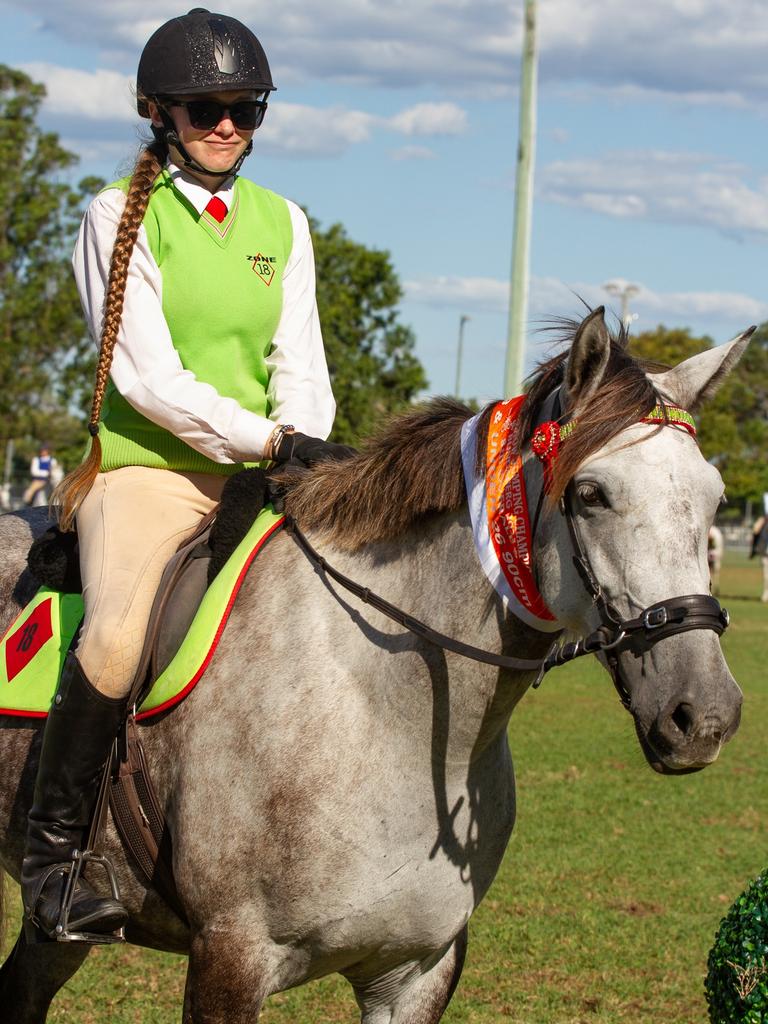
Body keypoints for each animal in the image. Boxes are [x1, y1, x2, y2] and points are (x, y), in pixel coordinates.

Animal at [0, 307, 753, 1019]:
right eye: (592, 494)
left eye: (715, 498)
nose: (705, 715)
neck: (386, 714)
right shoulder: (231, 957)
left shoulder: (417, 973)